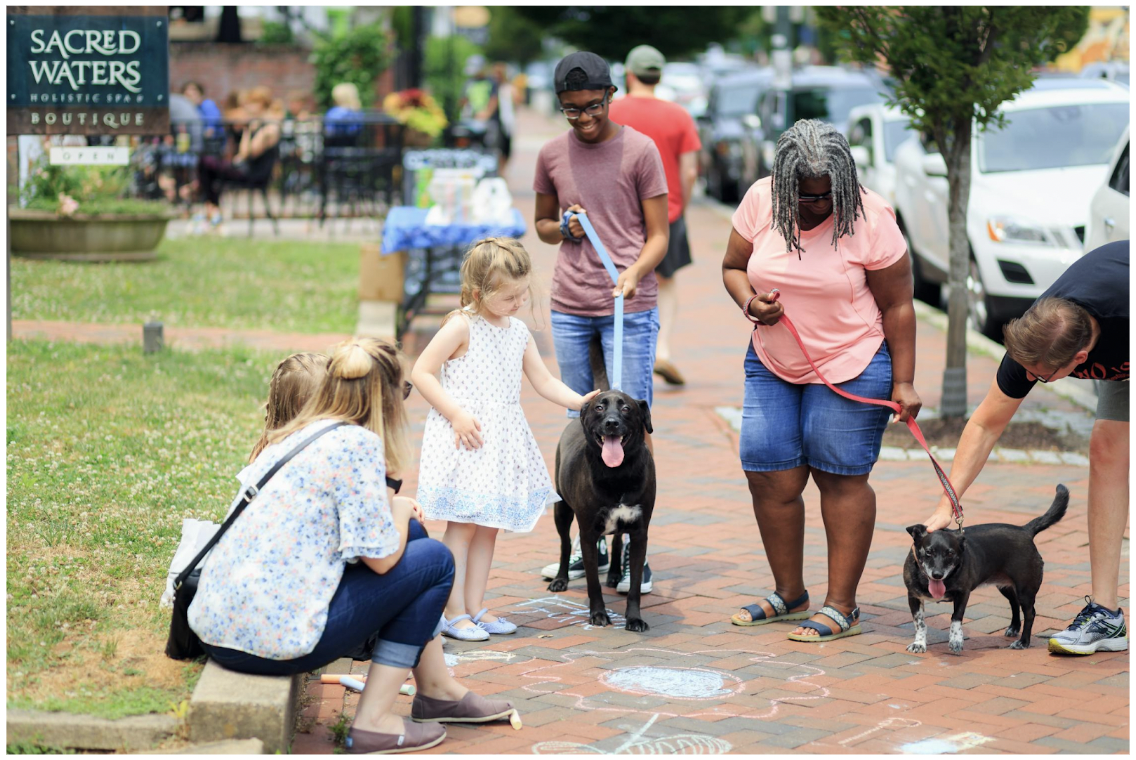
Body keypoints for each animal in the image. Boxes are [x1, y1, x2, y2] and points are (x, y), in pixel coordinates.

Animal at [545, 388, 654, 631]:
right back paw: (560, 579)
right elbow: (593, 582)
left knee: (617, 540)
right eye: (599, 407)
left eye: (626, 408)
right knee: (565, 544)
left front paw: (634, 618)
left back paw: (614, 574)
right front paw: (598, 614)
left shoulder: (640, 532)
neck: (618, 473)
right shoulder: (588, 534)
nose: (611, 423)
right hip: (561, 510)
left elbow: (634, 585)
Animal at [899, 486, 1067, 654]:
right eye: (928, 552)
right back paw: (1014, 627)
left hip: (1025, 589)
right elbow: (920, 623)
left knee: (1030, 613)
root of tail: (1025, 530)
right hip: (1005, 586)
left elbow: (956, 618)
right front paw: (919, 643)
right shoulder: (913, 597)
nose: (937, 575)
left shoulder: (963, 594)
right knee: (1014, 603)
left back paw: (1023, 642)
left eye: (950, 553)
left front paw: (956, 640)